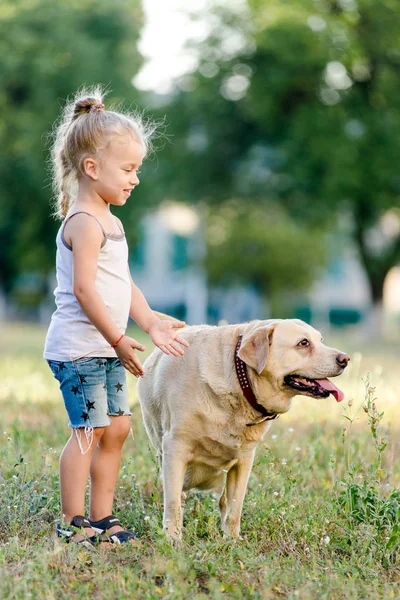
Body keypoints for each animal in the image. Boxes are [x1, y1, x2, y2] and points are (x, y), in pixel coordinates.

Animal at [136, 318, 348, 540]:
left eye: (321, 340)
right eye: (303, 343)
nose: (345, 359)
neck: (240, 380)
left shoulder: (244, 460)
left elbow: (234, 508)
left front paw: (231, 541)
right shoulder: (175, 449)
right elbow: (173, 503)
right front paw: (173, 540)